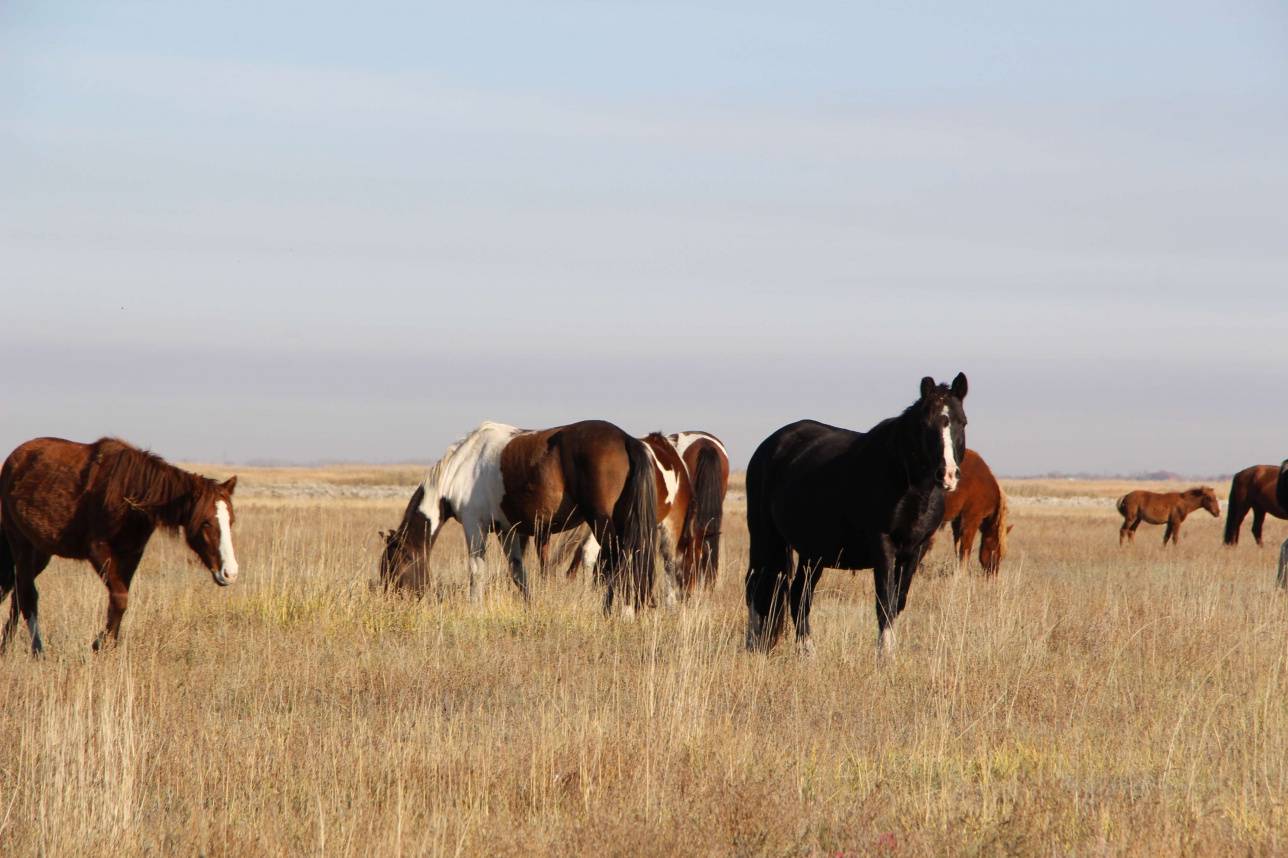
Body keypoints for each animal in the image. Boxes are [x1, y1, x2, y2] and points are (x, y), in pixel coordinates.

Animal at [0, 438, 239, 651]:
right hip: (21, 546)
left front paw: (107, 645)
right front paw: (99, 645)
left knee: (18, 594)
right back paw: (37, 650)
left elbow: (119, 601)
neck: (129, 494)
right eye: (206, 522)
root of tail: (12, 461)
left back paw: (5, 648)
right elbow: (120, 598)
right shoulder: (98, 551)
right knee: (28, 595)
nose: (230, 573)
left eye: (231, 521)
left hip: (41, 553)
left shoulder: (131, 555)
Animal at [376, 419, 654, 608]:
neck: (459, 468)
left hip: (601, 522)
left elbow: (476, 570)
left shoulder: (474, 525)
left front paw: (474, 608)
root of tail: (625, 438)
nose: (389, 601)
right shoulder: (507, 530)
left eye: (394, 566)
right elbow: (518, 572)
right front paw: (530, 606)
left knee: (617, 561)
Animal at [747, 368, 968, 654]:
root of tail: (770, 445)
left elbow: (898, 602)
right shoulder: (882, 544)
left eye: (962, 422)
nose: (948, 474)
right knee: (757, 587)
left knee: (798, 594)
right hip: (765, 537)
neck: (906, 483)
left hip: (812, 553)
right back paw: (753, 642)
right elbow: (884, 601)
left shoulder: (916, 550)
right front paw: (884, 655)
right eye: (925, 425)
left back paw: (807, 652)